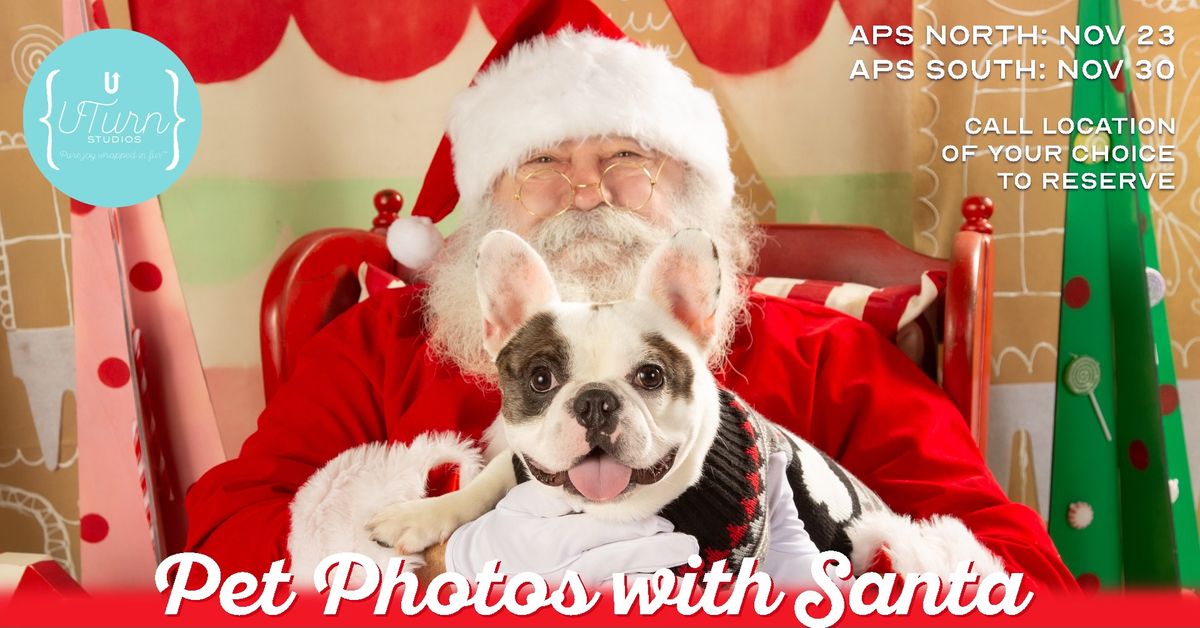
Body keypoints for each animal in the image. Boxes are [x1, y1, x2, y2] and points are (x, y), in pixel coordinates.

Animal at [367, 228, 1003, 578]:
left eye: (650, 376)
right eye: (542, 378)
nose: (595, 402)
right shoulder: (522, 466)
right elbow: (490, 477)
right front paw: (422, 514)